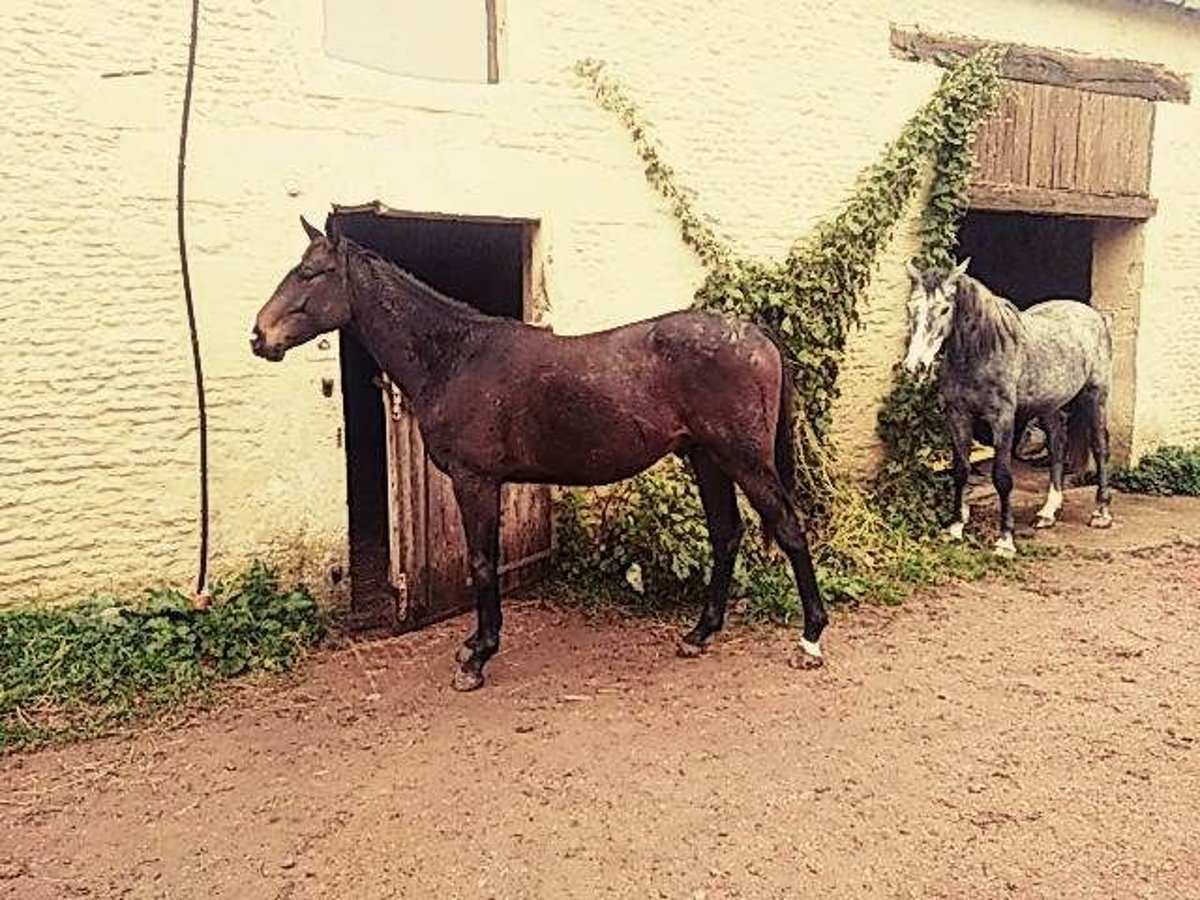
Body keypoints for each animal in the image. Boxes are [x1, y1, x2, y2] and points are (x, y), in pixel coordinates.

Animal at [250, 217, 825, 691]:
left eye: (312, 272)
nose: (259, 336)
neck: (455, 357)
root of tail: (755, 335)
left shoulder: (475, 480)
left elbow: (483, 563)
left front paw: (477, 658)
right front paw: (475, 646)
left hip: (744, 460)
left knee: (789, 530)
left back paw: (811, 639)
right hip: (707, 458)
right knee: (726, 535)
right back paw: (699, 633)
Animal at [902, 260, 1108, 556]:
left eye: (944, 309)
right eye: (911, 307)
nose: (915, 366)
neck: (983, 351)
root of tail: (1094, 316)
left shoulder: (1003, 420)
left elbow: (1002, 477)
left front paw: (1005, 540)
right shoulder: (958, 415)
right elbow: (961, 469)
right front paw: (955, 528)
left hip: (1096, 395)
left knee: (1100, 448)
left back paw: (1101, 513)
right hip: (1049, 406)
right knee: (1058, 447)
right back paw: (1047, 512)